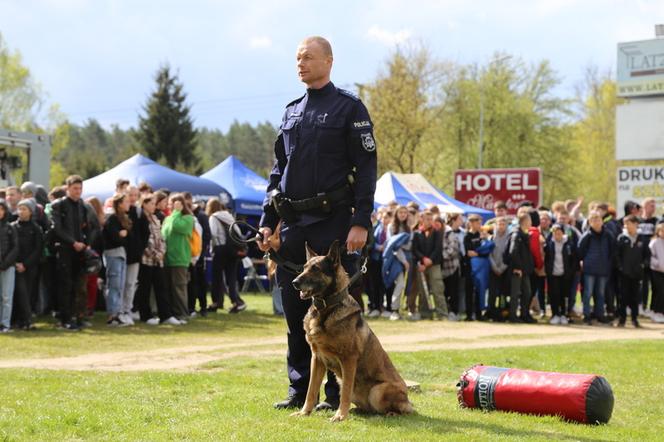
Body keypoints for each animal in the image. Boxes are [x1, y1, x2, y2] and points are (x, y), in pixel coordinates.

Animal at [290, 242, 410, 422]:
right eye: (304, 268)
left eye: (316, 269)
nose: (294, 282)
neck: (325, 309)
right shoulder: (317, 359)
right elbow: (311, 390)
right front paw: (304, 412)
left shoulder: (348, 360)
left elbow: (345, 392)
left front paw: (340, 416)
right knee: (368, 408)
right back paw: (357, 410)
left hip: (378, 391)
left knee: (402, 410)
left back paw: (391, 413)